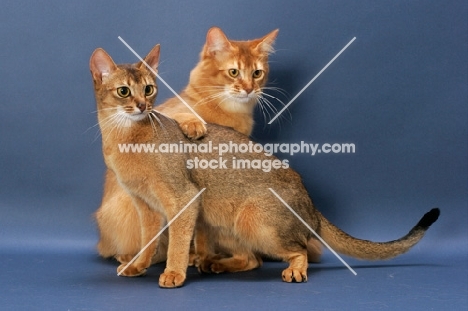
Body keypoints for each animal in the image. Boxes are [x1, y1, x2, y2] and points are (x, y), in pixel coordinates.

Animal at [89, 43, 440, 288]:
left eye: (149, 89)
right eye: (124, 91)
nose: (142, 106)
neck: (126, 139)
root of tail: (311, 204)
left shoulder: (182, 200)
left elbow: (176, 243)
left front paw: (173, 273)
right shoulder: (146, 207)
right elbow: (147, 243)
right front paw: (137, 266)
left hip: (252, 219)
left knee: (297, 249)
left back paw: (293, 270)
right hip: (217, 220)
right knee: (252, 259)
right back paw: (215, 264)